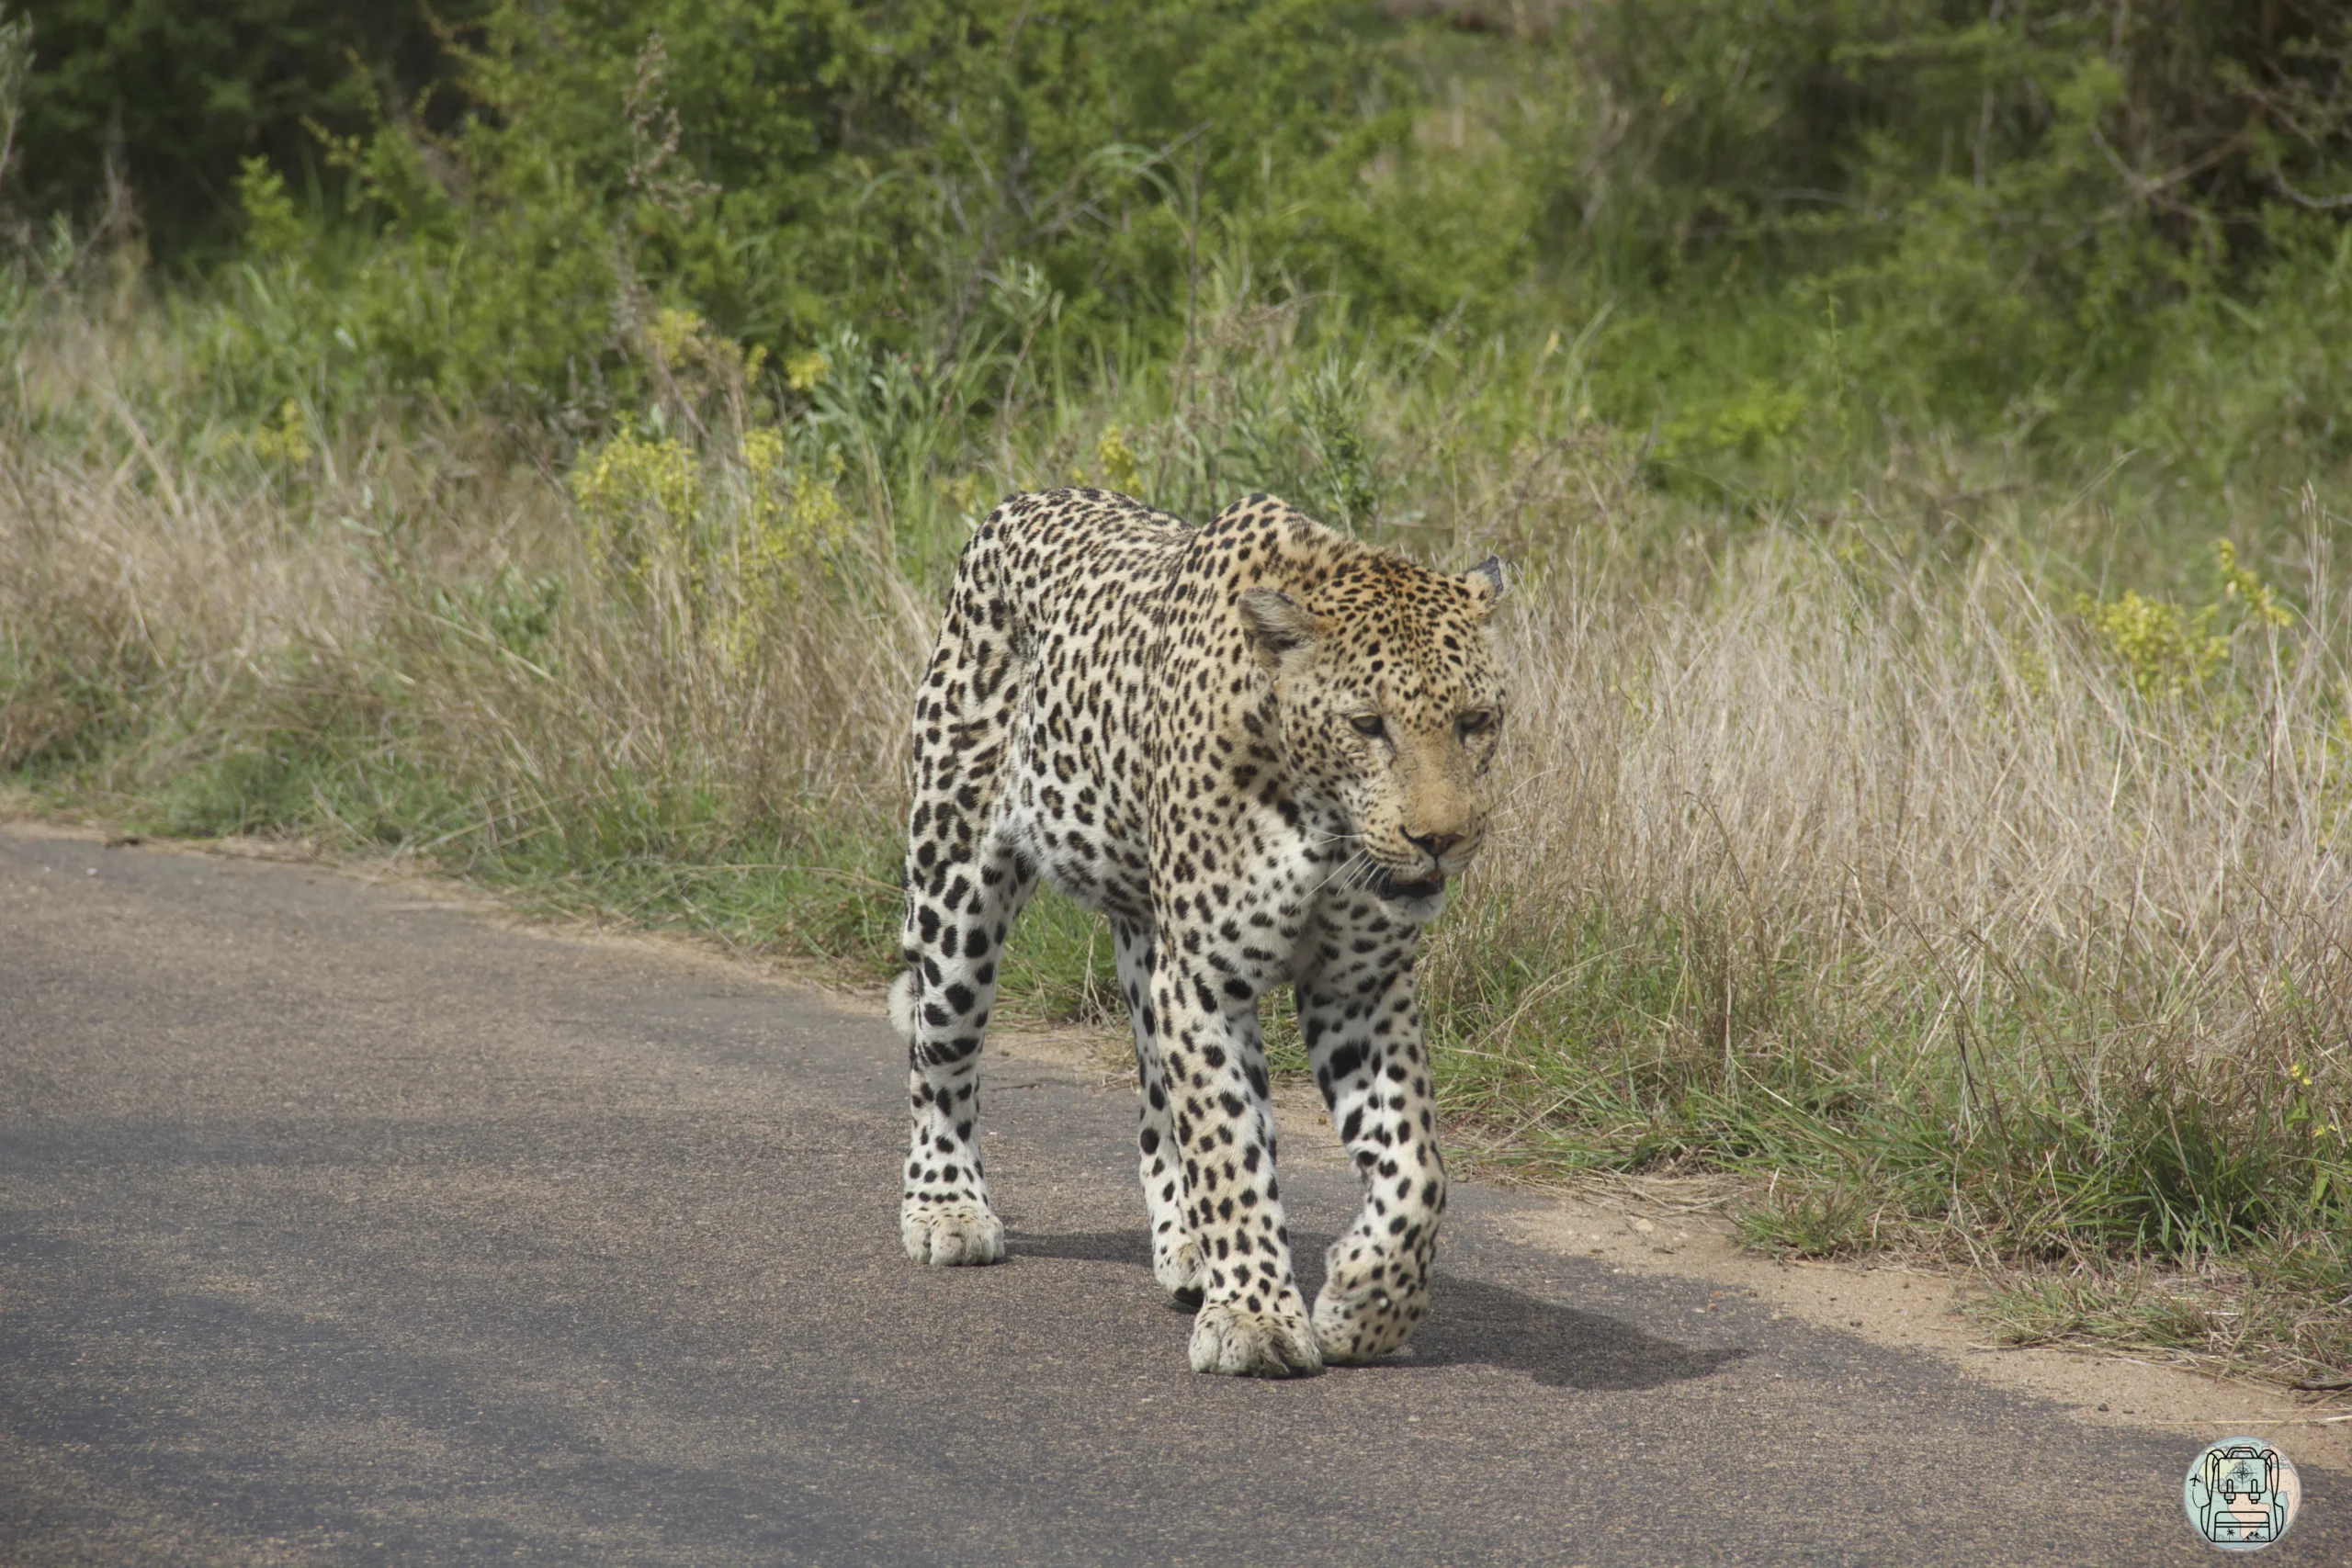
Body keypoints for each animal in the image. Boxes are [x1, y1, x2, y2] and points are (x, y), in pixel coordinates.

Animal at [888, 486, 1506, 1377]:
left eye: (1476, 721)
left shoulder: (1360, 990)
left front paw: (1361, 1305)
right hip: (957, 888)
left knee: (1156, 1108)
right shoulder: (1207, 981)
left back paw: (1187, 1248)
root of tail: (1017, 503)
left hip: (1149, 950)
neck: (1318, 820)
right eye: (1367, 724)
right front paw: (1256, 1317)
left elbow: (1417, 1169)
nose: (1442, 838)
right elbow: (1229, 1148)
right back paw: (946, 1209)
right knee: (942, 1055)